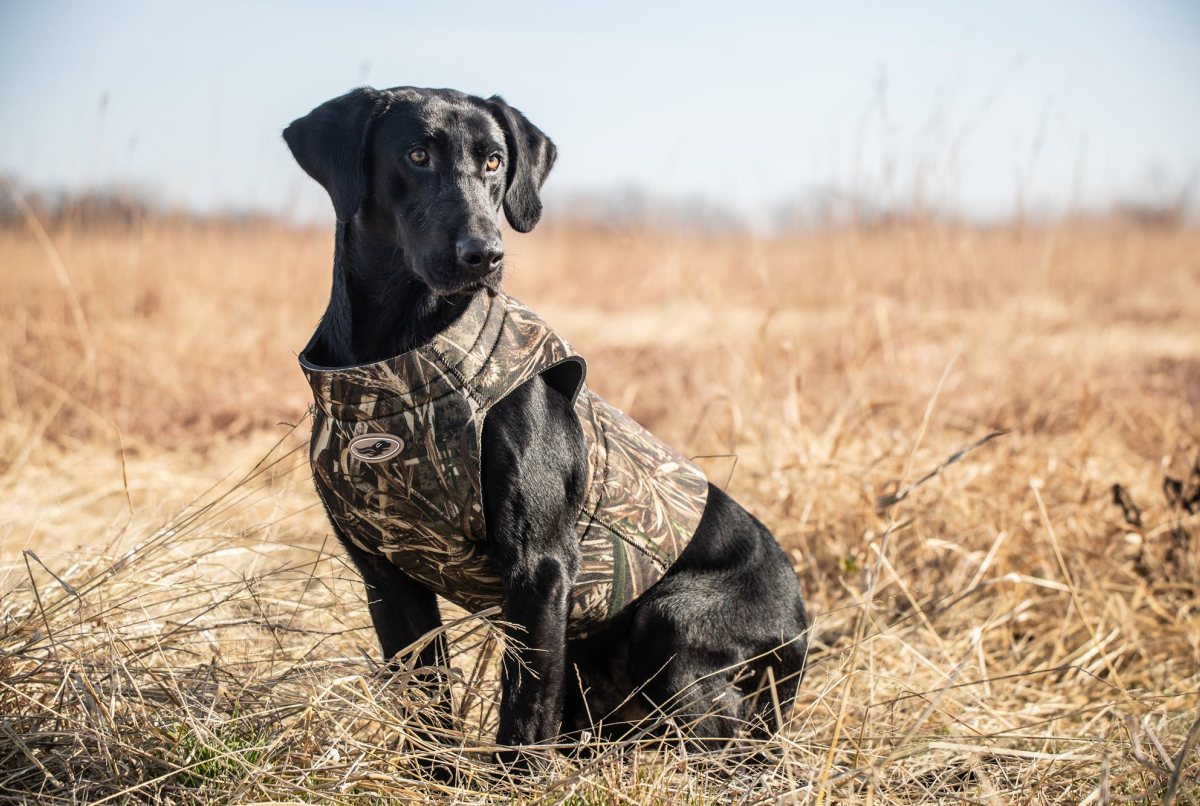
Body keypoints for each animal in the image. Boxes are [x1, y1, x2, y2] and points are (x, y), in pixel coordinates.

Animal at [283, 88, 806, 758]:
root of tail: (802, 622)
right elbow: (426, 706)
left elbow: (525, 713)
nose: (484, 254)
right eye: (417, 155)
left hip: (675, 625)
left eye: (494, 161)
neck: (398, 360)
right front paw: (439, 773)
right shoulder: (384, 571)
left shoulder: (539, 568)